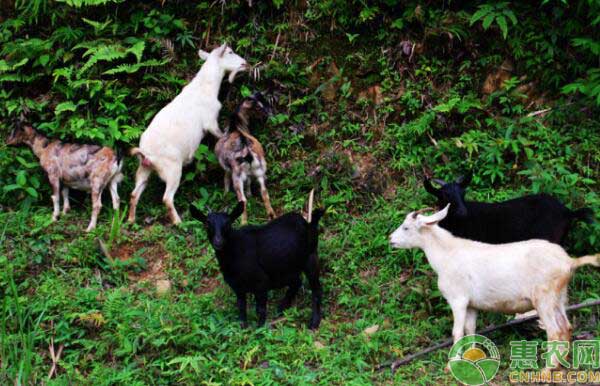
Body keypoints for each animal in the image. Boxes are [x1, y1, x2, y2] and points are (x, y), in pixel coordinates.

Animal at [126, 43, 248, 223]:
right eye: (230, 52)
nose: (245, 63)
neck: (204, 87)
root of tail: (146, 153)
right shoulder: (210, 121)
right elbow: (219, 134)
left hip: (144, 168)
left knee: (134, 194)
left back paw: (131, 219)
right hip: (172, 169)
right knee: (167, 198)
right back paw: (178, 222)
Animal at [190, 199, 326, 328]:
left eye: (228, 223)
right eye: (207, 224)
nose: (218, 242)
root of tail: (308, 223)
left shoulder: (261, 283)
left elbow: (260, 310)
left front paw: (260, 330)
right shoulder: (237, 287)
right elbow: (241, 307)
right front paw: (243, 328)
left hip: (310, 257)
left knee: (316, 289)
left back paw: (314, 322)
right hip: (284, 269)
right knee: (297, 282)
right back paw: (281, 309)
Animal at [216, 92, 276, 223]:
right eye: (258, 106)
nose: (269, 113)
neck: (236, 127)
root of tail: (248, 153)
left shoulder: (226, 167)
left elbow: (225, 179)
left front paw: (225, 194)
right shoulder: (249, 173)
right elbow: (248, 182)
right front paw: (250, 194)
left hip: (237, 177)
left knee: (242, 201)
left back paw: (243, 223)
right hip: (260, 170)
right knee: (265, 193)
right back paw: (272, 216)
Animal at [390, 205, 600, 370]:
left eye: (406, 227)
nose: (391, 239)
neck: (447, 255)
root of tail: (569, 262)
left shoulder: (458, 299)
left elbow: (457, 331)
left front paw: (451, 365)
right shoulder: (471, 304)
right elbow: (470, 329)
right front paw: (471, 357)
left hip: (544, 299)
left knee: (554, 331)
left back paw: (547, 369)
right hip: (560, 297)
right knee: (566, 327)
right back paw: (560, 364)